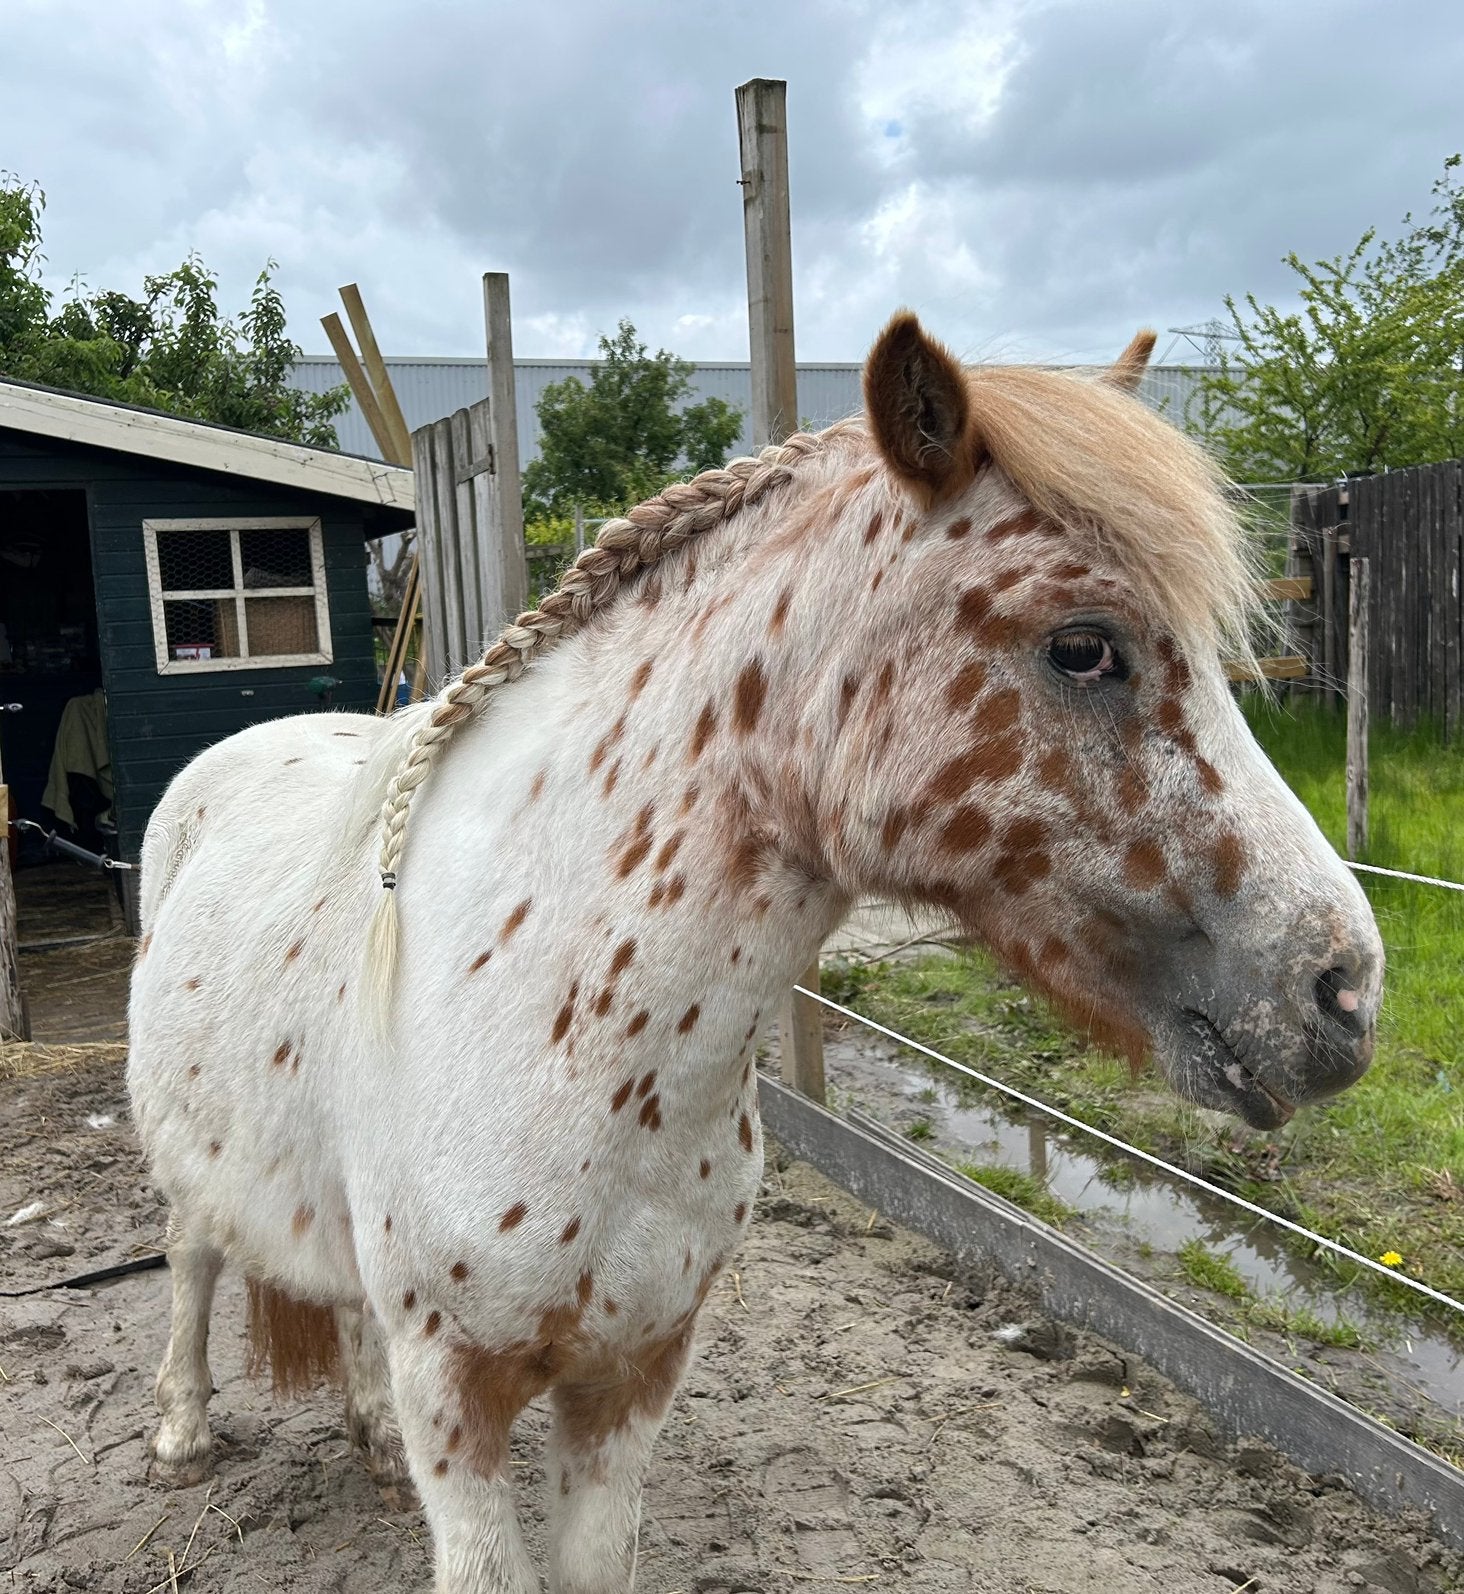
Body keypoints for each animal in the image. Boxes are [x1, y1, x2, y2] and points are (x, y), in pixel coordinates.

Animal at [127, 312, 1383, 1593]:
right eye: (1084, 646)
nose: (1341, 986)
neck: (557, 1023)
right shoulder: (457, 1400)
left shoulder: (630, 1379)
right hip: (183, 1169)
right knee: (190, 1257)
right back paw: (179, 1429)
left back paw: (365, 1435)